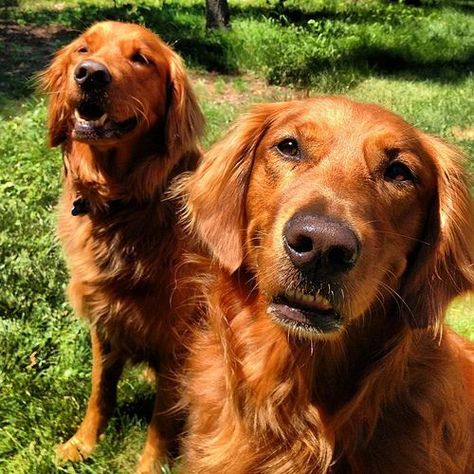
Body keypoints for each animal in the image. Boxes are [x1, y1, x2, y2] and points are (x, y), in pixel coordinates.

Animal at [39, 21, 203, 470]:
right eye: (83, 49)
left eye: (141, 58)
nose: (90, 75)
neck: (122, 206)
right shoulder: (104, 320)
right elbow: (100, 391)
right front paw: (82, 444)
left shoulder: (177, 339)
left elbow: (161, 418)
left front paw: (150, 466)